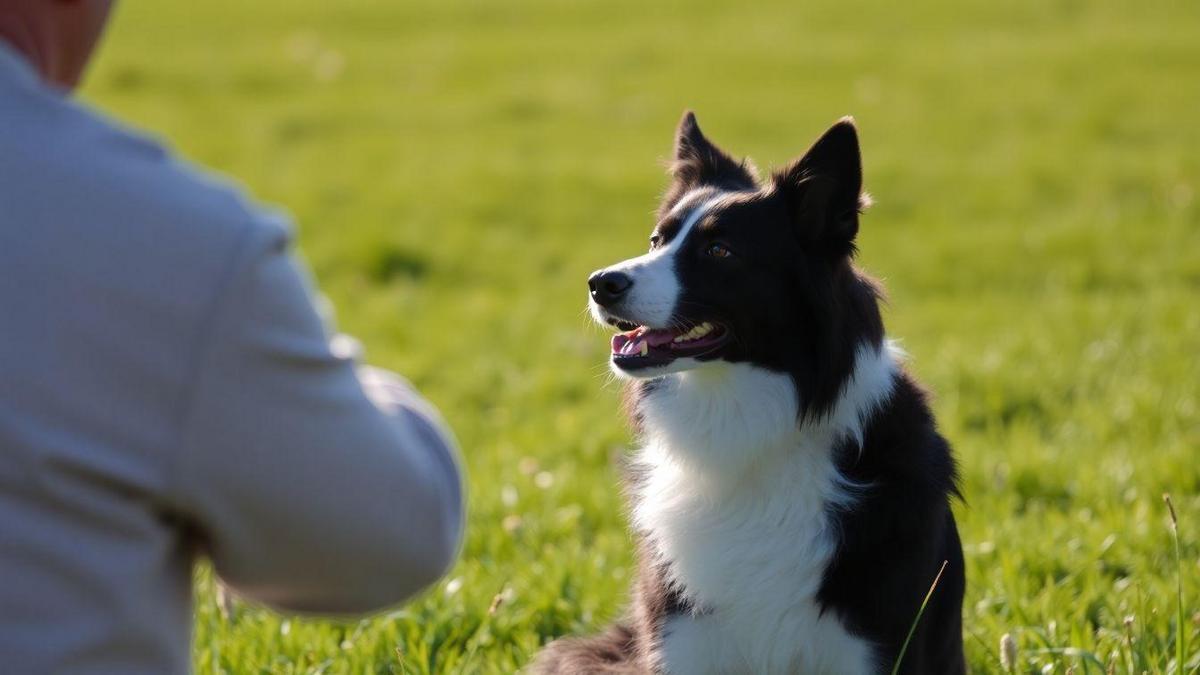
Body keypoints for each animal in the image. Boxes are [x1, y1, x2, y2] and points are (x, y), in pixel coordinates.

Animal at [535, 112, 964, 667]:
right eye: (656, 241)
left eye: (719, 251)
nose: (600, 283)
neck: (744, 425)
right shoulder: (681, 634)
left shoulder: (875, 645)